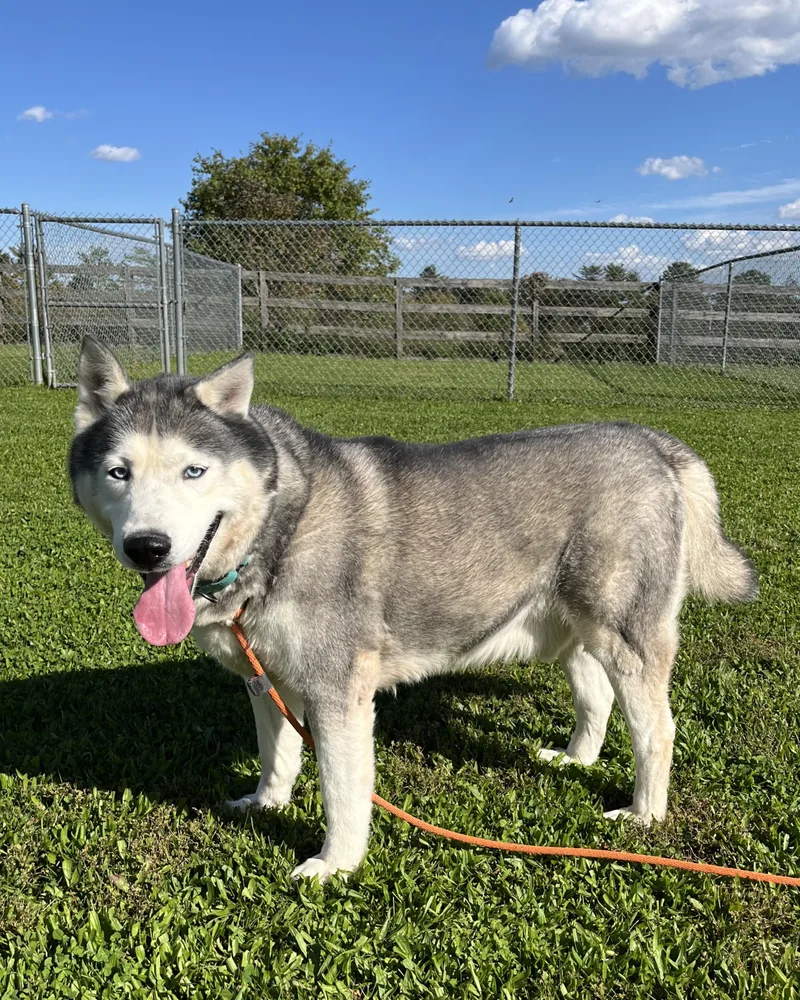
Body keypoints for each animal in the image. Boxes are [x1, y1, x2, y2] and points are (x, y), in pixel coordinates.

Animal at [68, 337, 757, 881]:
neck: (280, 527)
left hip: (625, 636)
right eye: (119, 472)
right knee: (597, 698)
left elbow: (343, 791)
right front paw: (267, 804)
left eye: (193, 471)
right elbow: (277, 756)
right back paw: (575, 759)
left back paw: (643, 814)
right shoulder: (267, 682)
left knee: (657, 730)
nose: (148, 546)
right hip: (575, 631)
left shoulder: (338, 694)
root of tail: (652, 441)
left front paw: (335, 864)